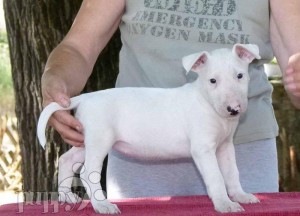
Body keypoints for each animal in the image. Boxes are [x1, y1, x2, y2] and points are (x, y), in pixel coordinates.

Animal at [37, 43, 262, 213]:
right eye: (212, 80)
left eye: (240, 76)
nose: (233, 109)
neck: (206, 102)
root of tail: (85, 97)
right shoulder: (203, 149)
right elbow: (216, 177)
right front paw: (225, 204)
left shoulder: (225, 147)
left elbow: (231, 173)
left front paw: (240, 196)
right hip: (100, 140)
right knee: (86, 172)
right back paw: (102, 205)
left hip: (86, 140)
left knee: (67, 160)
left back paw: (67, 197)